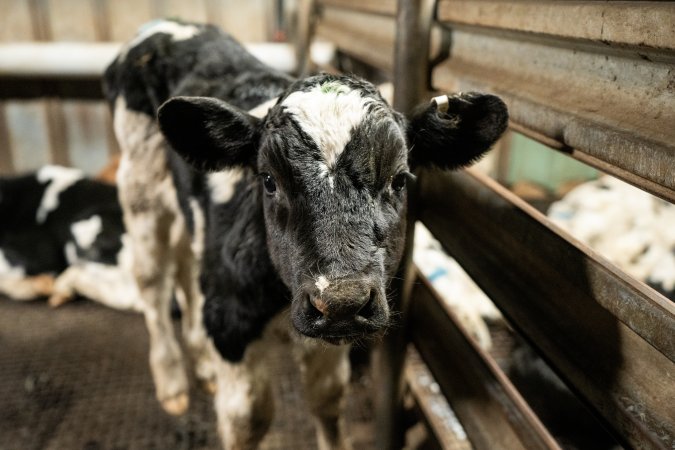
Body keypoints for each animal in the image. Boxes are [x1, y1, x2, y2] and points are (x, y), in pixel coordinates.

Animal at [104, 19, 508, 448]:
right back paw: (173, 386)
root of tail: (164, 26)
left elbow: (327, 399)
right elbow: (249, 418)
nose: (342, 301)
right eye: (268, 180)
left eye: (399, 179)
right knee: (153, 283)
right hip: (140, 187)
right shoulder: (230, 323)